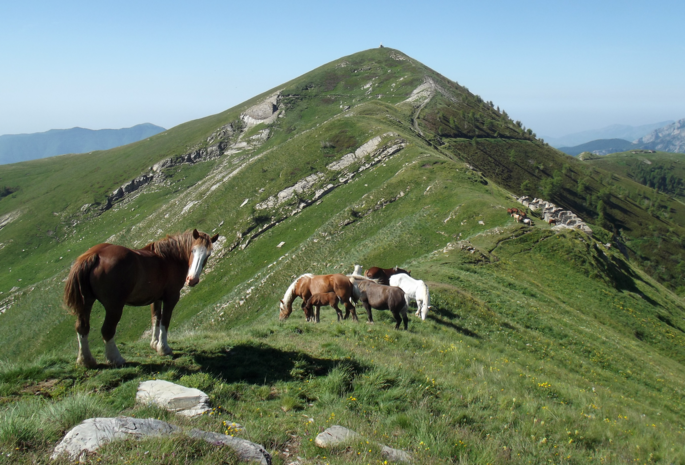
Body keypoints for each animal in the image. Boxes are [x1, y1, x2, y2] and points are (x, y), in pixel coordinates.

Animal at [63, 228, 218, 366]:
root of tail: (95, 254)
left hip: (86, 302)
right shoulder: (171, 297)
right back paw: (116, 359)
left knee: (82, 327)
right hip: (114, 306)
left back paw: (86, 360)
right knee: (107, 330)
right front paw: (164, 348)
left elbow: (155, 318)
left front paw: (154, 344)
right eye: (192, 250)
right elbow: (165, 321)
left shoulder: (156, 298)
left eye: (208, 255)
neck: (170, 259)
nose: (192, 280)